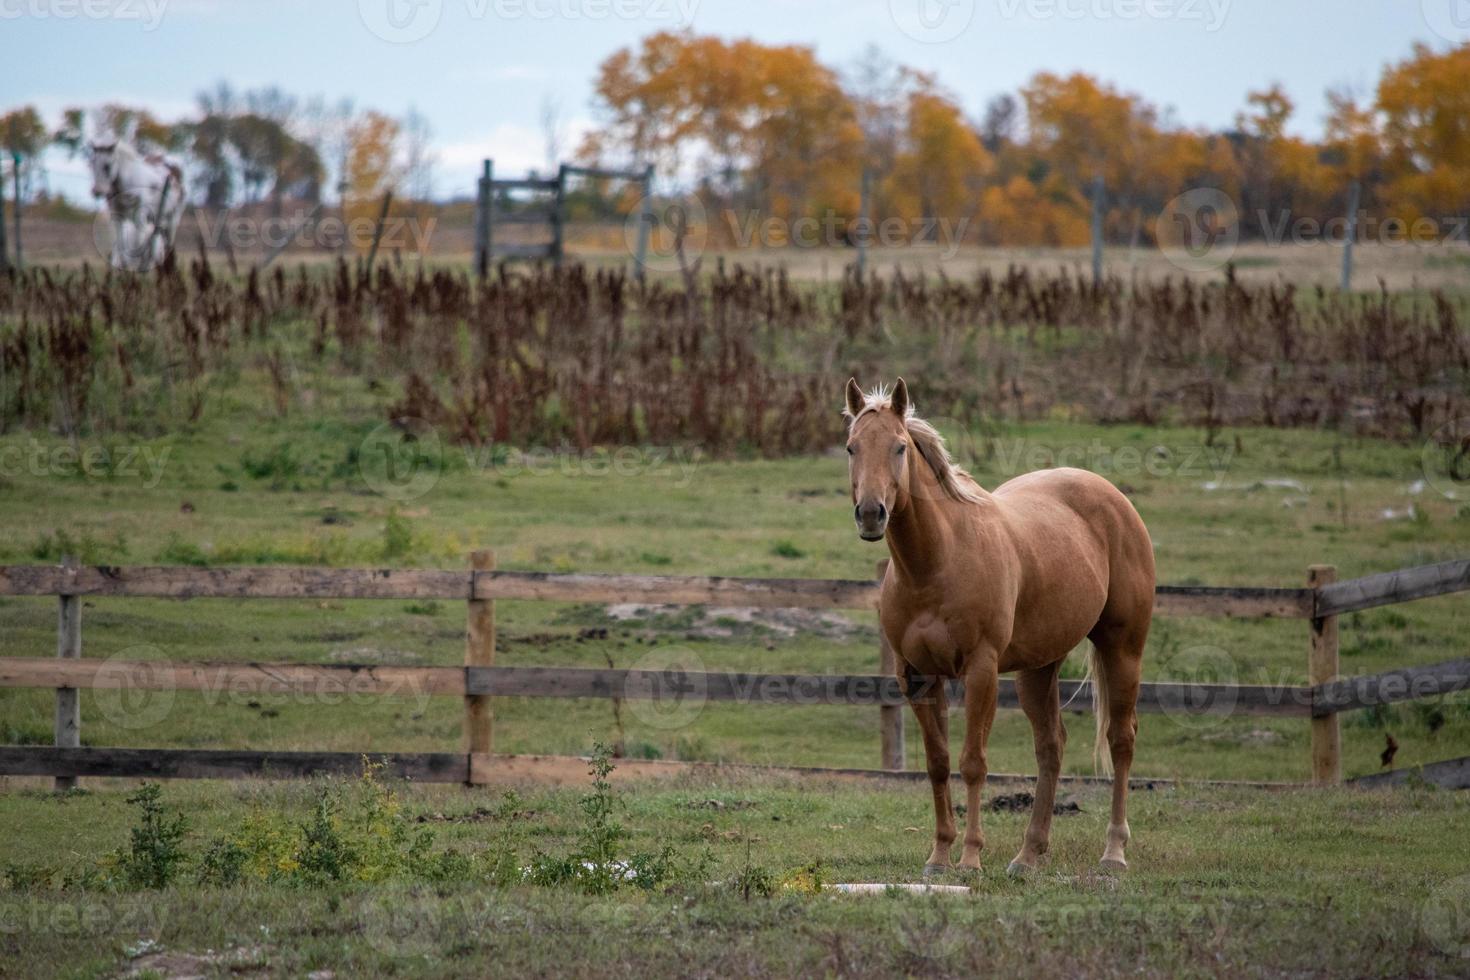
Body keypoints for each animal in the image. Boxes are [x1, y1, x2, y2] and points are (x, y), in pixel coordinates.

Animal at [91, 132, 186, 271]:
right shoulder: (117, 215)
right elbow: (120, 242)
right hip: (156, 218)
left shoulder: (139, 216)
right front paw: (121, 266)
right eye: (92, 163)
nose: (97, 191)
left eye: (107, 166)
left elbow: (137, 241)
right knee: (154, 236)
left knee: (167, 242)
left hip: (172, 219)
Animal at [846, 379, 1152, 875]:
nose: (871, 514)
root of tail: (1112, 496)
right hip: (1038, 668)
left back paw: (1114, 853)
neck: (935, 562)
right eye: (851, 447)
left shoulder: (981, 670)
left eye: (899, 447)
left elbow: (973, 762)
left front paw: (970, 858)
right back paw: (1027, 855)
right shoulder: (916, 677)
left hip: (1122, 648)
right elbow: (937, 762)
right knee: (1051, 746)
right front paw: (939, 857)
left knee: (1120, 740)